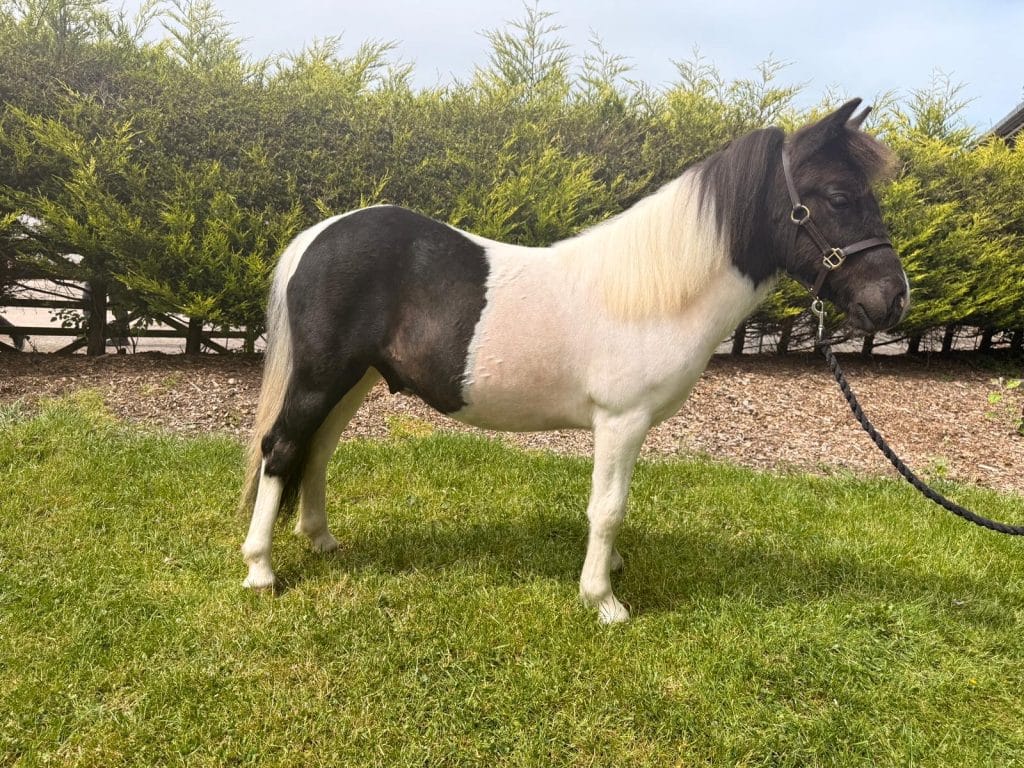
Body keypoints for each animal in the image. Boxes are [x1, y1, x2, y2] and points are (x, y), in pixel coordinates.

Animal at [240, 98, 909, 623]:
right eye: (840, 196)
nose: (894, 299)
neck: (653, 292)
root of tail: (318, 235)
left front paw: (609, 569)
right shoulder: (621, 421)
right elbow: (608, 508)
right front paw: (603, 600)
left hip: (353, 379)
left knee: (317, 450)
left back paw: (321, 540)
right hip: (321, 377)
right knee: (282, 448)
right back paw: (261, 570)